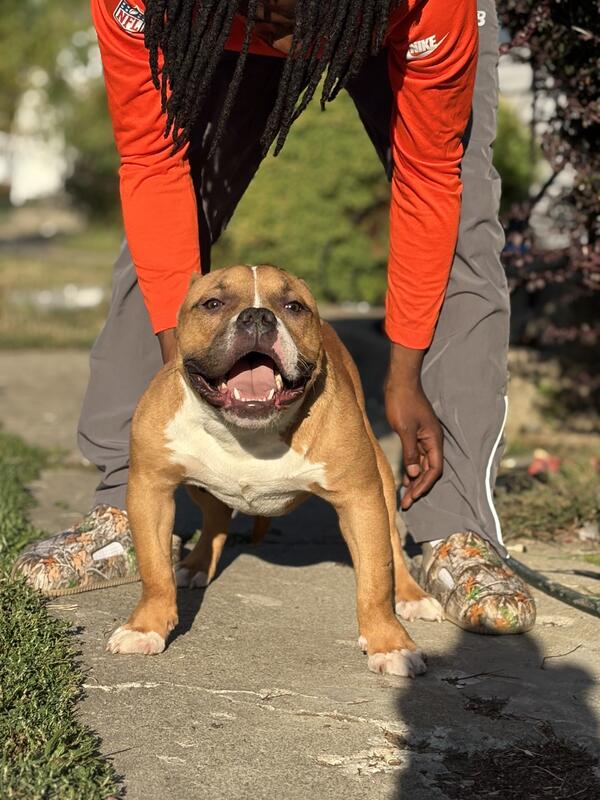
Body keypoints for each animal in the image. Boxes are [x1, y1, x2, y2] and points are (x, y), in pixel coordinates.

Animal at [107, 265, 443, 675]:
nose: (257, 316)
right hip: (197, 487)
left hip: (381, 477)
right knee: (216, 517)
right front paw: (146, 627)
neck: (247, 433)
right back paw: (197, 564)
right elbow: (154, 570)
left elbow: (376, 579)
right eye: (213, 303)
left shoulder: (361, 501)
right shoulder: (150, 490)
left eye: (293, 306)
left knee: (393, 544)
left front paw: (390, 644)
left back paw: (412, 596)